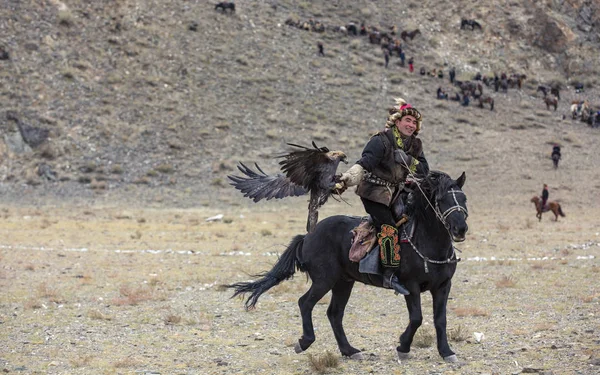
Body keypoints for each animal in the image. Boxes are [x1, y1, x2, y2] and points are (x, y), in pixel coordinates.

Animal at [229, 172, 468, 362]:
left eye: (464, 198)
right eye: (441, 199)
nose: (461, 229)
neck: (426, 241)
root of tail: (308, 236)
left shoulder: (443, 286)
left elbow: (440, 319)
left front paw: (447, 352)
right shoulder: (411, 286)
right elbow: (417, 318)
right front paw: (403, 346)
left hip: (343, 282)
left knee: (334, 314)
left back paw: (349, 350)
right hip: (324, 280)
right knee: (305, 303)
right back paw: (305, 342)